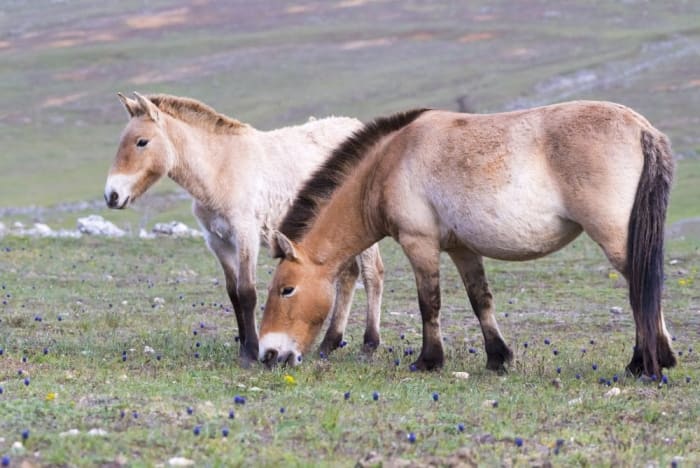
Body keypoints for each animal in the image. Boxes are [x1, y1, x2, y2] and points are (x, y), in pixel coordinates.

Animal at [103, 93, 386, 364]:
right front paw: (243, 349)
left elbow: (247, 292)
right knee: (348, 274)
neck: (221, 168)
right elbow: (233, 293)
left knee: (372, 274)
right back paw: (328, 344)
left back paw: (368, 346)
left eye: (142, 141)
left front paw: (251, 352)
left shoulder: (245, 235)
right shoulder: (218, 241)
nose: (111, 196)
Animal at [260, 100, 676, 378]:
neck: (389, 162)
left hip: (616, 238)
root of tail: (643, 129)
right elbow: (481, 301)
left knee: (641, 286)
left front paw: (429, 360)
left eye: (286, 289)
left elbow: (429, 303)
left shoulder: (419, 243)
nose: (268, 353)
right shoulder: (462, 249)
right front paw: (498, 358)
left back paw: (644, 362)